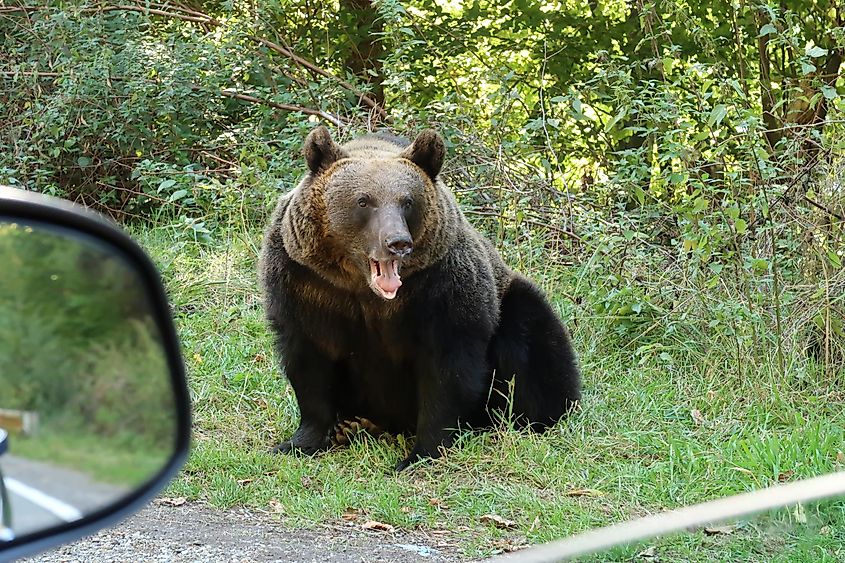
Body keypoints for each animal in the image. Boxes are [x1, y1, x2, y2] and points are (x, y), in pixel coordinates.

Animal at [258, 128, 580, 472]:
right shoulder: (305, 286)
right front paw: (300, 441)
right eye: (364, 201)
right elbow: (309, 365)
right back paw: (355, 425)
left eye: (407, 201)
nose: (397, 243)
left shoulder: (440, 289)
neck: (364, 289)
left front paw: (421, 453)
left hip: (510, 302)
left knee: (532, 345)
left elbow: (447, 371)